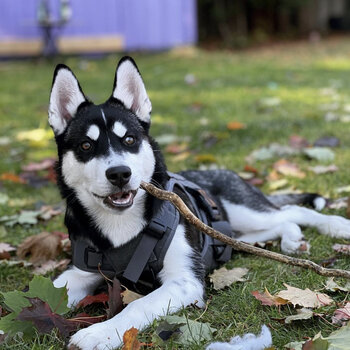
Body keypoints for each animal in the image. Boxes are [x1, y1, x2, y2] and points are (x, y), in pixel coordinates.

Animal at [50, 56, 350, 348]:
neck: (121, 226)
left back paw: (336, 226)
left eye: (130, 139)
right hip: (234, 234)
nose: (119, 174)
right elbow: (49, 290)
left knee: (291, 210)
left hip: (243, 209)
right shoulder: (78, 272)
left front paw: (98, 334)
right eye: (86, 146)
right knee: (279, 223)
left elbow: (137, 306)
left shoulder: (184, 281)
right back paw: (292, 238)